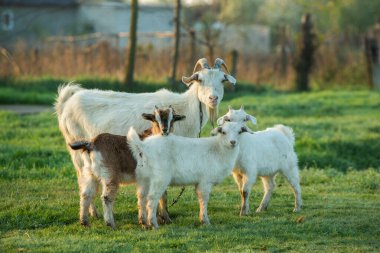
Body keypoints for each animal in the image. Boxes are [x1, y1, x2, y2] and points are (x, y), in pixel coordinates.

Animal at [55, 57, 236, 225]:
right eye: (200, 79)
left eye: (222, 80)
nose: (213, 98)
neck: (187, 109)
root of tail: (66, 102)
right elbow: (162, 189)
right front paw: (163, 217)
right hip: (77, 153)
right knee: (83, 182)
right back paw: (94, 214)